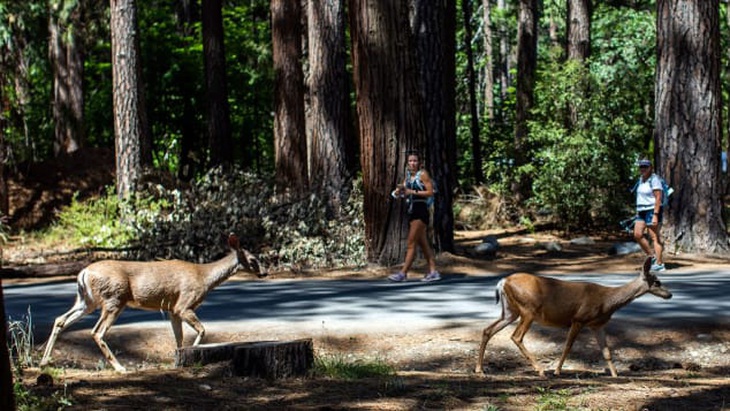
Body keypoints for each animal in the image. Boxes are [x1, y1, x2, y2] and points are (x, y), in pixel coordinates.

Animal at [38, 232, 266, 374]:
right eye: (253, 259)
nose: (265, 272)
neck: (204, 277)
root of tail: (83, 272)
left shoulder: (172, 310)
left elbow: (178, 339)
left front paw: (178, 361)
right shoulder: (183, 304)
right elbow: (201, 330)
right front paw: (193, 354)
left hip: (87, 300)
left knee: (60, 319)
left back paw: (43, 361)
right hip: (114, 299)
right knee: (97, 332)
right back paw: (120, 368)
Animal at [472, 258, 672, 380]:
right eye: (657, 282)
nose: (669, 294)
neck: (607, 301)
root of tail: (503, 281)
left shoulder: (597, 325)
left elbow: (606, 351)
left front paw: (616, 375)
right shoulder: (579, 319)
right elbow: (568, 345)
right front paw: (557, 371)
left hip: (510, 311)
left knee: (488, 330)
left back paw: (479, 370)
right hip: (528, 310)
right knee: (516, 336)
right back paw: (541, 370)